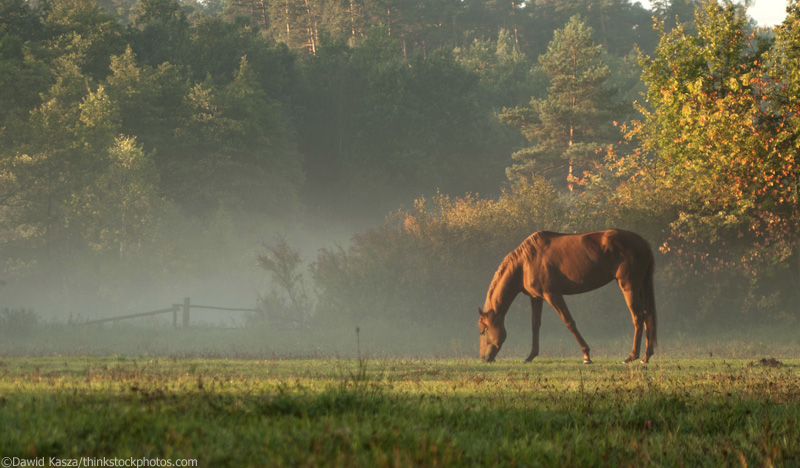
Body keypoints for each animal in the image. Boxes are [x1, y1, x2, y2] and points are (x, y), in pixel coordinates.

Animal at [476, 229, 656, 364]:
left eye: (483, 331)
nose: (484, 358)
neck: (525, 263)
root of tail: (643, 242)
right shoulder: (536, 298)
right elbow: (535, 325)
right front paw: (530, 356)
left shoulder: (553, 295)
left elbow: (569, 322)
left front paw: (586, 355)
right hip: (640, 287)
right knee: (647, 316)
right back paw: (646, 356)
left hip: (629, 287)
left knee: (638, 317)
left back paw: (632, 357)